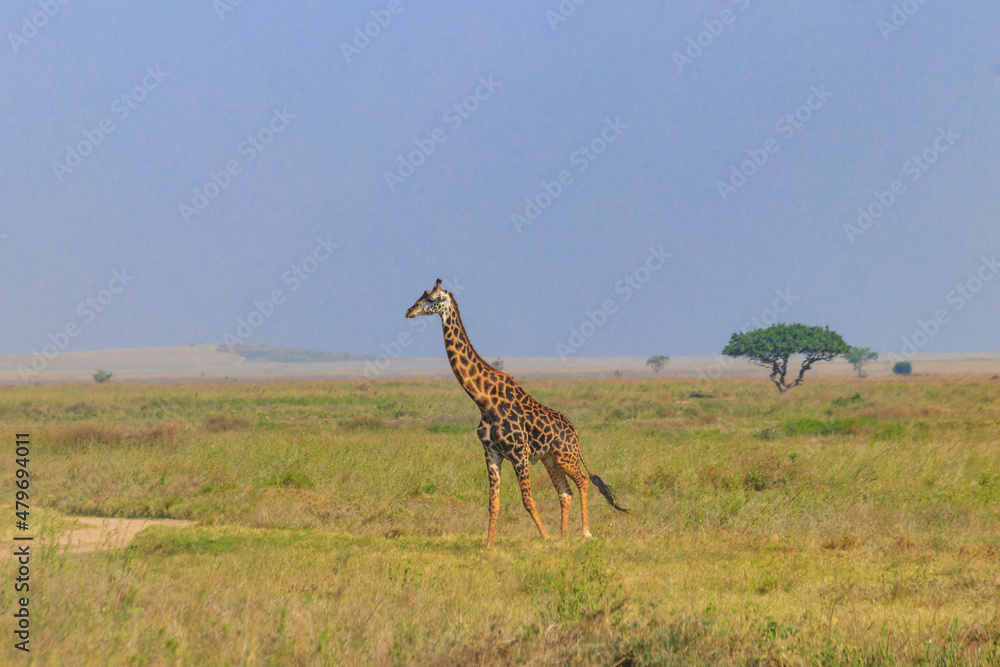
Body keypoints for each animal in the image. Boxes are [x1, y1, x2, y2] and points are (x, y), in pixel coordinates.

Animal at [406, 279, 628, 546]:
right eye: (421, 295)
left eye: (431, 299)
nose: (409, 311)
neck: (484, 400)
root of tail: (575, 433)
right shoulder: (492, 453)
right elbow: (493, 503)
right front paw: (488, 545)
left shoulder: (519, 454)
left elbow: (528, 500)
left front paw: (545, 537)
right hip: (549, 459)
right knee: (565, 493)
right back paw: (564, 536)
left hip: (565, 455)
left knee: (583, 481)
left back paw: (584, 532)